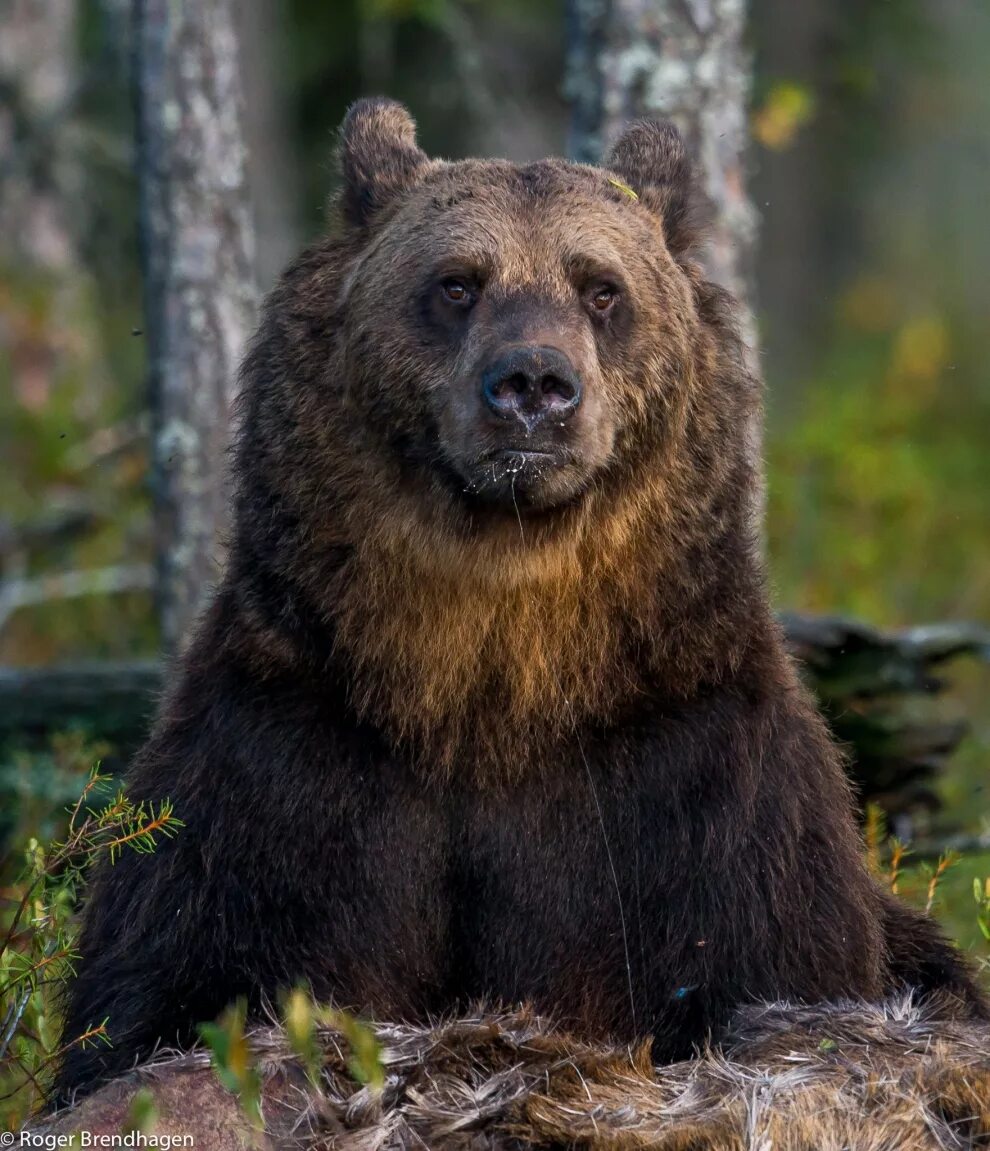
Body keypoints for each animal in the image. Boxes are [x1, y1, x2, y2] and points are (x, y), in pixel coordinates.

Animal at [56, 101, 989, 1104]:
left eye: (602, 289)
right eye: (458, 283)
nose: (534, 384)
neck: (493, 685)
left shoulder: (687, 775)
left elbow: (764, 966)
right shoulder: (296, 747)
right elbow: (181, 983)